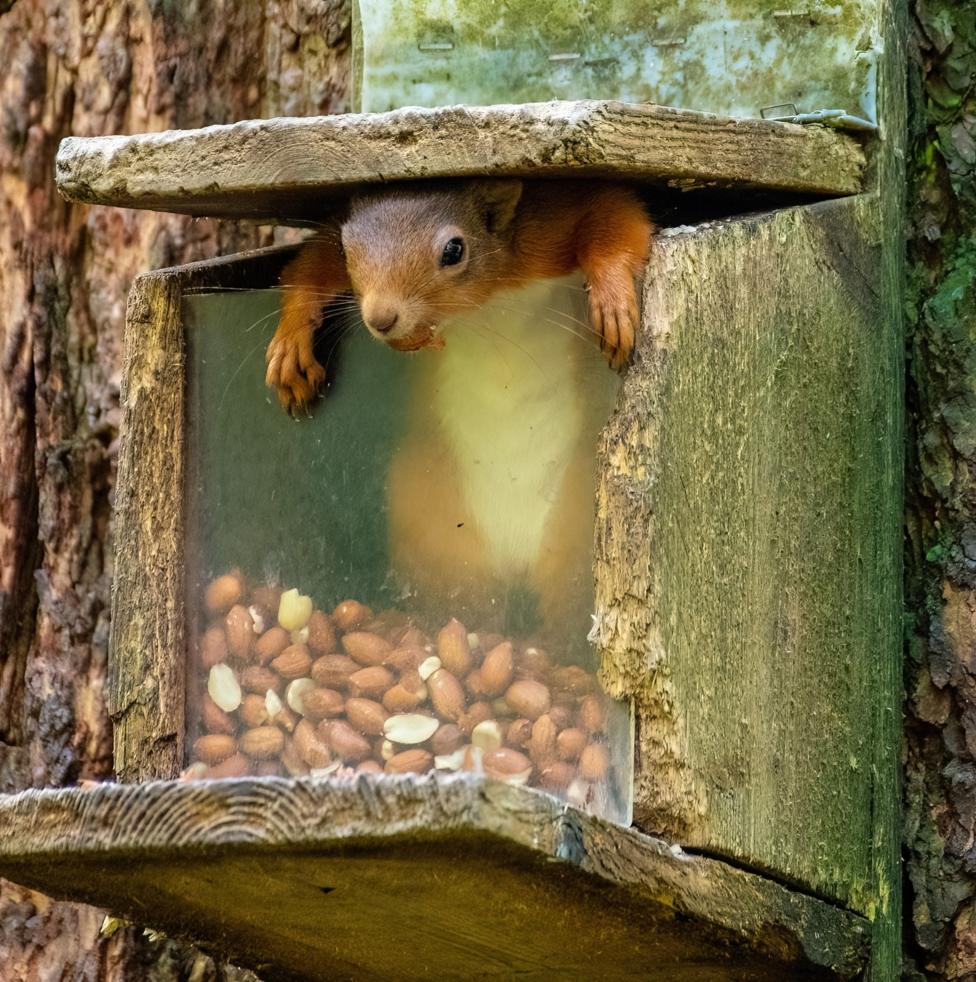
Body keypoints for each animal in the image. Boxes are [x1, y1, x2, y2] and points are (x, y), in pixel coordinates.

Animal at [266, 179, 654, 637]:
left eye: (454, 250)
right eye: (346, 248)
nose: (381, 318)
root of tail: (514, 551)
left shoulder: (545, 224)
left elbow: (612, 216)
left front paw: (611, 297)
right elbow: (308, 266)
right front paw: (291, 340)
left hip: (578, 527)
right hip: (434, 526)